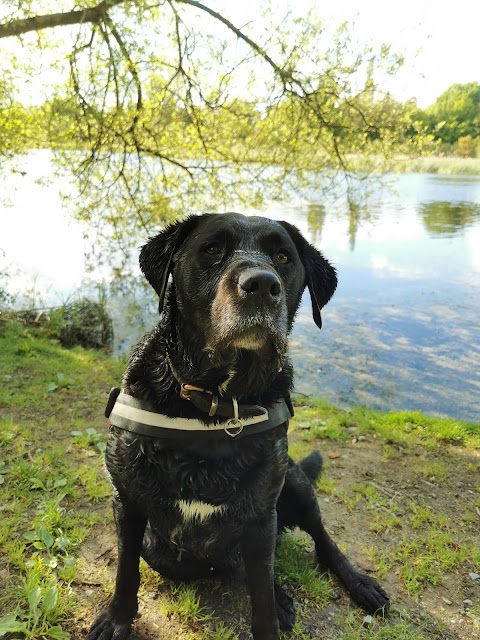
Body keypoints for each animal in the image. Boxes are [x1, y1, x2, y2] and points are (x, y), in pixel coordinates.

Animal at [87, 214, 390, 640]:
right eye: (212, 249)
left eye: (283, 257)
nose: (262, 284)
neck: (214, 405)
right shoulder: (127, 503)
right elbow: (126, 571)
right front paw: (116, 620)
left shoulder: (262, 516)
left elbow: (261, 595)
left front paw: (272, 609)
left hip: (295, 481)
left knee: (322, 540)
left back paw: (357, 583)